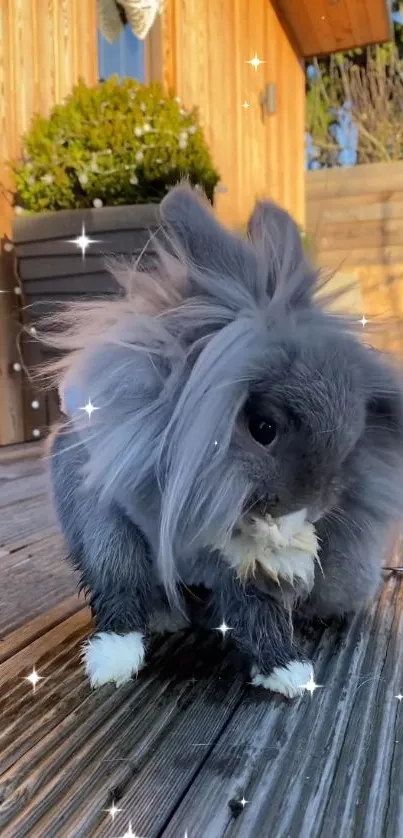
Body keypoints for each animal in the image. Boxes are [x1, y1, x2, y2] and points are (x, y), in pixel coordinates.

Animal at [45, 185, 403, 704]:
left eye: (354, 422)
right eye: (263, 428)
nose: (313, 506)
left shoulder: (247, 567)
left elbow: (259, 607)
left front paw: (287, 671)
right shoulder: (113, 528)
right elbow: (121, 585)